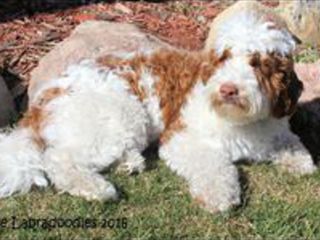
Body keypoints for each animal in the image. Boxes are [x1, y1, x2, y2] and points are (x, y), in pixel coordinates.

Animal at [0, 9, 316, 212]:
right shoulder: (183, 139)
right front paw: (218, 196)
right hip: (121, 116)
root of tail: (39, 103)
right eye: (224, 58)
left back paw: (130, 163)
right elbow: (215, 167)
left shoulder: (278, 130)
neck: (245, 121)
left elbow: (296, 148)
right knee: (59, 160)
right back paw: (96, 188)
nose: (228, 89)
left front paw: (298, 162)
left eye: (257, 63)